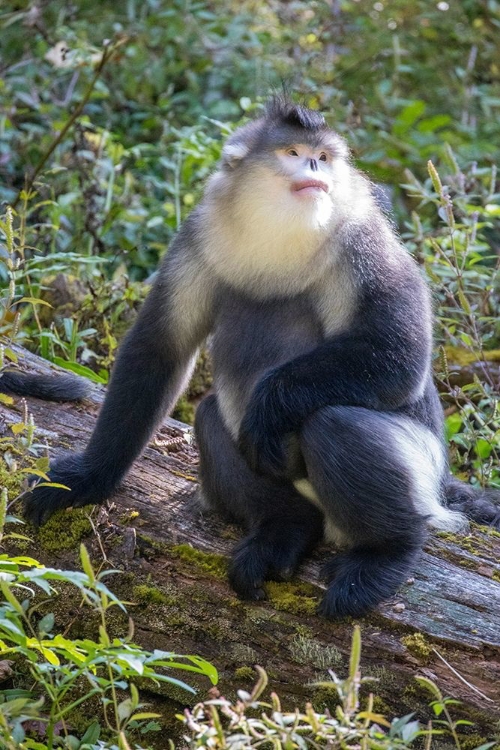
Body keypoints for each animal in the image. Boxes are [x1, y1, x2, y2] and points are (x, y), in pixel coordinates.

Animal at [5, 97, 498, 620]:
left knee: (333, 422)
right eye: (294, 152)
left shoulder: (363, 239)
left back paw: (383, 554)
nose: (314, 168)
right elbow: (159, 348)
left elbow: (399, 354)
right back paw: (287, 528)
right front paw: (88, 478)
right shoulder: (198, 236)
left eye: (323, 158)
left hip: (420, 471)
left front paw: (269, 405)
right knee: (212, 415)